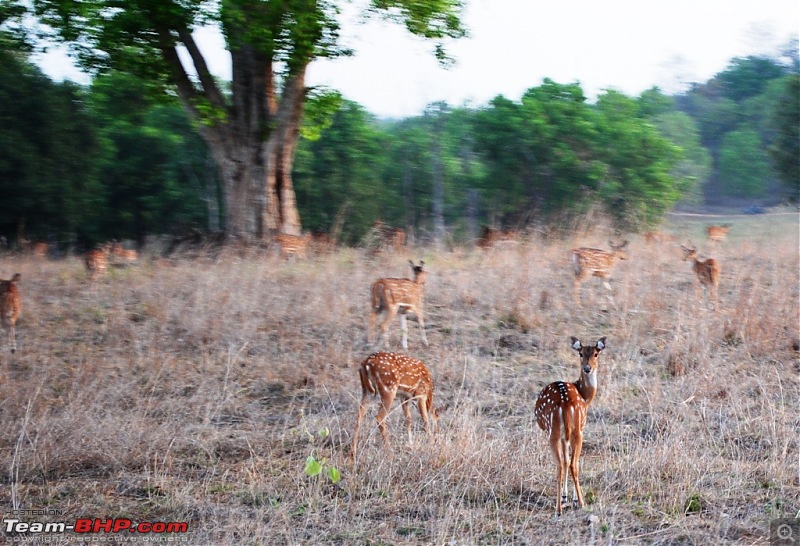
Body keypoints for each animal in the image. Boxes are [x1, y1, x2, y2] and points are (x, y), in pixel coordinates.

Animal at [536, 336, 608, 516]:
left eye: (596, 354)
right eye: (581, 354)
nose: (587, 368)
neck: (585, 396)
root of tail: (565, 403)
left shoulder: (565, 435)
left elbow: (566, 460)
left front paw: (566, 497)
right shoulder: (577, 430)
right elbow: (569, 461)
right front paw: (569, 497)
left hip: (556, 432)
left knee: (563, 464)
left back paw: (561, 507)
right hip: (573, 431)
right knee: (570, 463)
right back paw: (576, 503)